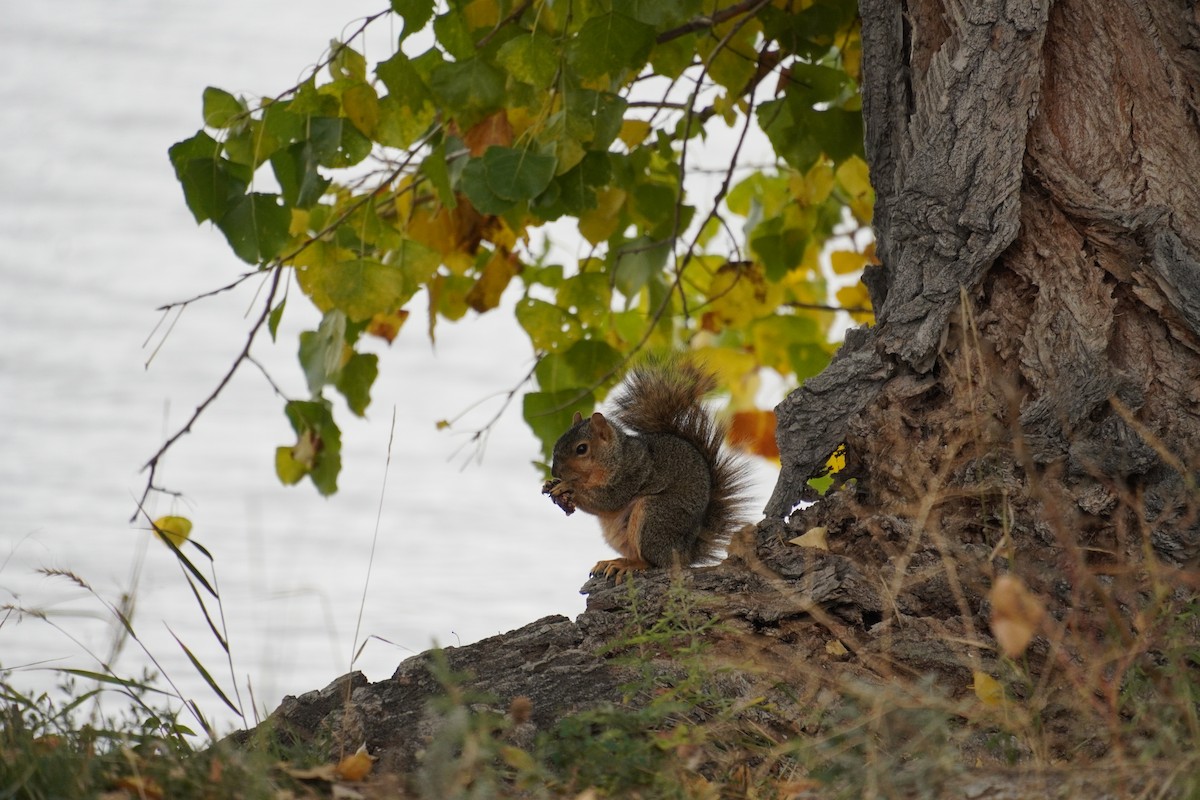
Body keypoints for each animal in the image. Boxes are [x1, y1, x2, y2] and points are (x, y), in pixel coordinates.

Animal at [542, 355, 751, 582]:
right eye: (559, 440)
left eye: (581, 449)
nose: (555, 472)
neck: (616, 457)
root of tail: (684, 553)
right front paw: (551, 483)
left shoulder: (633, 474)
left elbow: (607, 501)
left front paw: (567, 487)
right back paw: (614, 562)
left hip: (654, 516)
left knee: (654, 561)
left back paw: (631, 565)